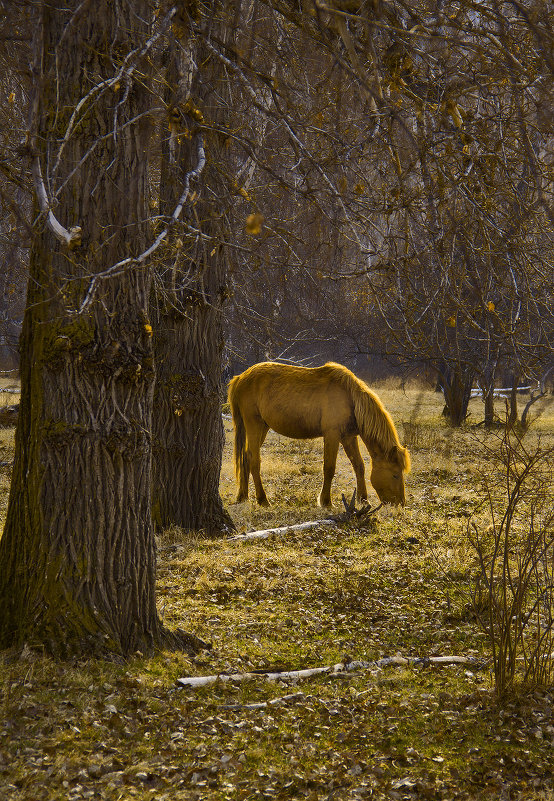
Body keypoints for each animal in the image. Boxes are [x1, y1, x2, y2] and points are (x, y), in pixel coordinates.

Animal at [225, 362, 410, 506]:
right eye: (395, 474)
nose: (400, 503)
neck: (350, 398)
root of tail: (240, 378)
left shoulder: (348, 437)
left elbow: (359, 466)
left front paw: (363, 499)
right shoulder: (332, 435)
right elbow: (329, 468)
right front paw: (326, 501)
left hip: (262, 428)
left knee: (246, 457)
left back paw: (243, 496)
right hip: (254, 425)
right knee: (254, 460)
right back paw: (262, 499)